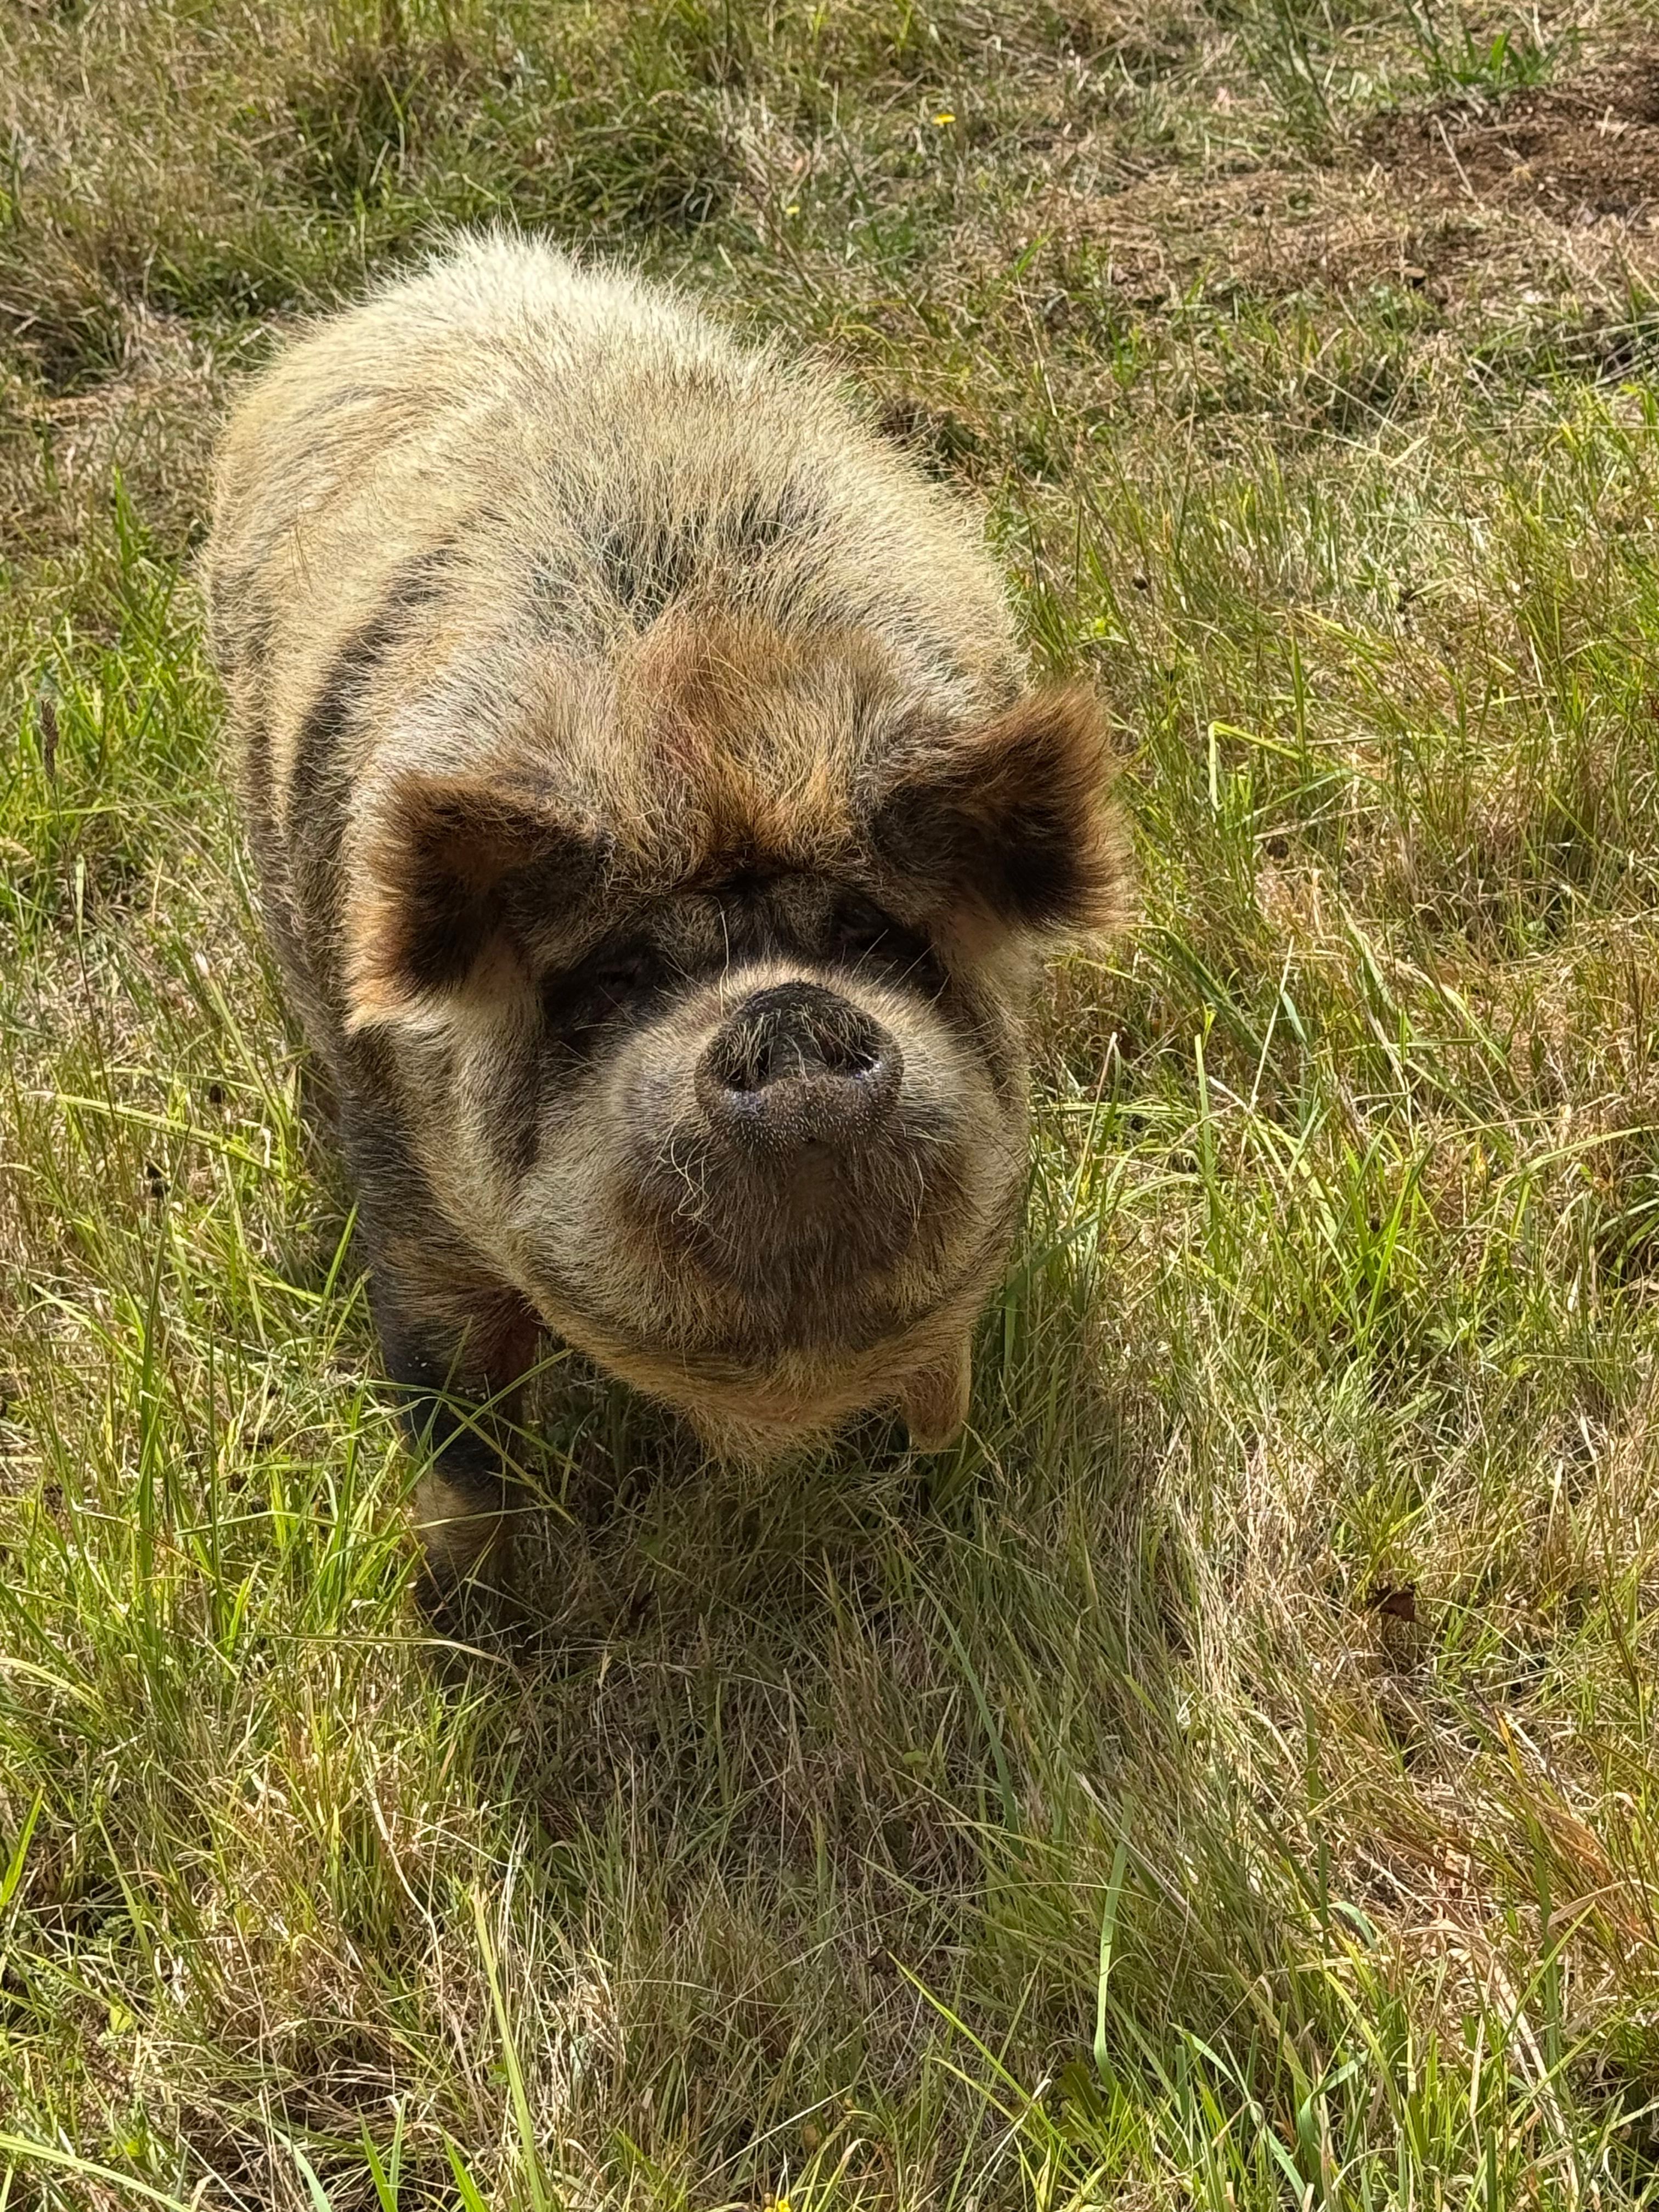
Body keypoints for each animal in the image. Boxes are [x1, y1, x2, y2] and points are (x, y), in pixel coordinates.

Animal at [205, 233, 1125, 1597]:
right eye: (627, 976)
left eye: (866, 937)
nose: (785, 1010)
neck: (706, 756)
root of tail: (449, 274)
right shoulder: (408, 1172)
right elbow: (447, 1391)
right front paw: (469, 1607)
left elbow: (942, 1383)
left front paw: (943, 1497)